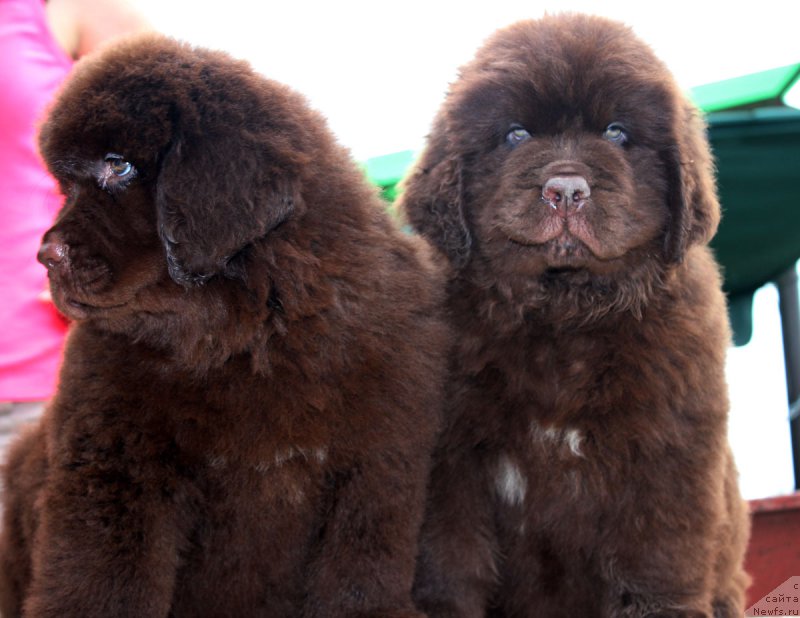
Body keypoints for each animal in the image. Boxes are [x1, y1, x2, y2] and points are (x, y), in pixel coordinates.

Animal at [0, 33, 446, 616]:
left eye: (118, 167)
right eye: (63, 186)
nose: (45, 255)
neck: (248, 334)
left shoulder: (376, 464)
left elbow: (359, 577)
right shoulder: (115, 471)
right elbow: (100, 583)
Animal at [404, 14, 752, 616]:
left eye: (615, 132)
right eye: (516, 134)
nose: (565, 189)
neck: (563, 316)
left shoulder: (665, 456)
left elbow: (655, 567)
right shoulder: (453, 463)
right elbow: (449, 568)